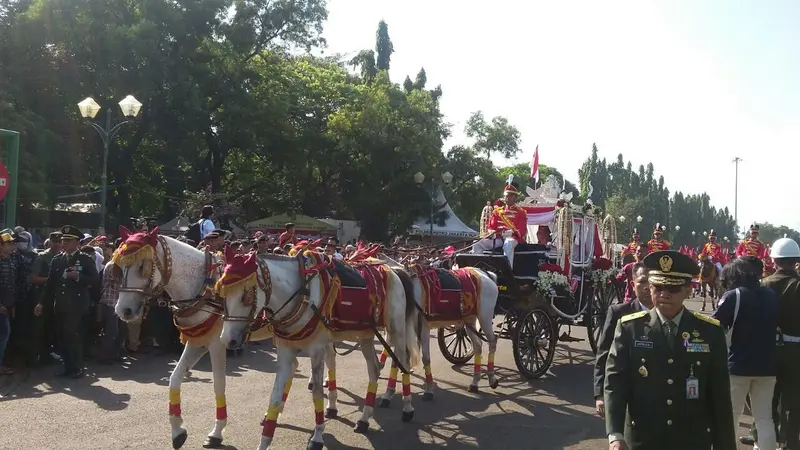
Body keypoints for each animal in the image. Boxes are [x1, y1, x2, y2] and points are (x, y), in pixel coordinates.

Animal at [113, 229, 231, 450]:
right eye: (119, 267)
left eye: (143, 267)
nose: (122, 310)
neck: (205, 287)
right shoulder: (197, 341)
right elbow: (175, 378)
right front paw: (177, 430)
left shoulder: (217, 343)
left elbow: (219, 384)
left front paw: (217, 432)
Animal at [219, 250, 418, 450]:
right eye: (223, 295)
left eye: (246, 296)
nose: (227, 339)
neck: (301, 294)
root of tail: (393, 270)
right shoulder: (286, 351)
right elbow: (275, 396)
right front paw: (265, 440)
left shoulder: (316, 350)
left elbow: (316, 392)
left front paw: (317, 435)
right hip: (366, 334)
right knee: (374, 368)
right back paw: (364, 419)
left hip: (397, 329)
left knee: (403, 362)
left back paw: (407, 407)